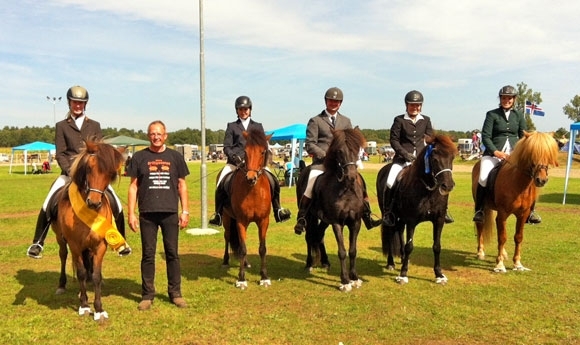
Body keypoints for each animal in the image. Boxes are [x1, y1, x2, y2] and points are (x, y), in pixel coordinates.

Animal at [50, 139, 125, 320]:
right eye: (89, 168)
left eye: (110, 172)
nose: (94, 202)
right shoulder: (75, 245)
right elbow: (81, 273)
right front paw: (84, 306)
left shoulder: (100, 245)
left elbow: (96, 275)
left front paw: (98, 309)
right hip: (60, 239)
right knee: (63, 255)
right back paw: (62, 285)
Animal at [221, 127, 274, 288]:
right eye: (245, 151)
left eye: (263, 152)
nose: (251, 178)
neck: (252, 190)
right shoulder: (240, 221)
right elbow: (243, 249)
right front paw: (241, 279)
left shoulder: (263, 221)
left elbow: (262, 249)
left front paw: (264, 277)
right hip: (226, 218)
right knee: (227, 236)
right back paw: (225, 260)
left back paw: (246, 263)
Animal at [294, 126, 368, 290]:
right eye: (339, 151)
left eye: (357, 149)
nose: (351, 177)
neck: (346, 190)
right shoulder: (336, 223)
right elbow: (342, 251)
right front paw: (345, 281)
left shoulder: (355, 222)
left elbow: (352, 250)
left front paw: (354, 277)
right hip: (310, 216)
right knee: (310, 236)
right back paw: (309, 263)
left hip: (323, 219)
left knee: (319, 235)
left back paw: (325, 261)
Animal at [376, 133, 458, 284]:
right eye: (434, 159)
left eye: (452, 157)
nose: (448, 185)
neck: (427, 190)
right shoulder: (412, 221)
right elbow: (409, 246)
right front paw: (403, 274)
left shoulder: (439, 220)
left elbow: (437, 246)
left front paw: (439, 274)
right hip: (389, 215)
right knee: (391, 234)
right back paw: (391, 263)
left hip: (400, 217)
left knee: (399, 231)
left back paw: (403, 259)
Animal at [474, 131, 560, 272]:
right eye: (532, 154)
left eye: (548, 155)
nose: (541, 180)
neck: (518, 184)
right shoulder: (503, 214)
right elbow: (502, 237)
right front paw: (499, 264)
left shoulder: (522, 214)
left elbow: (518, 237)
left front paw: (517, 263)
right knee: (480, 225)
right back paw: (480, 252)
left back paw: (504, 254)